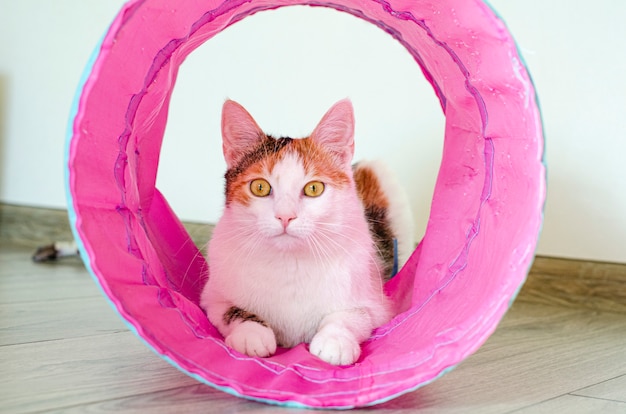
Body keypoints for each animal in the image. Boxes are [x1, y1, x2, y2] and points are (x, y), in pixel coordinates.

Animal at [201, 98, 414, 364]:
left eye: (314, 188)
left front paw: (335, 340)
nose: (285, 216)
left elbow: (354, 314)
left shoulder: (375, 303)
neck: (290, 262)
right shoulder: (211, 297)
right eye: (260, 187)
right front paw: (251, 333)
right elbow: (231, 310)